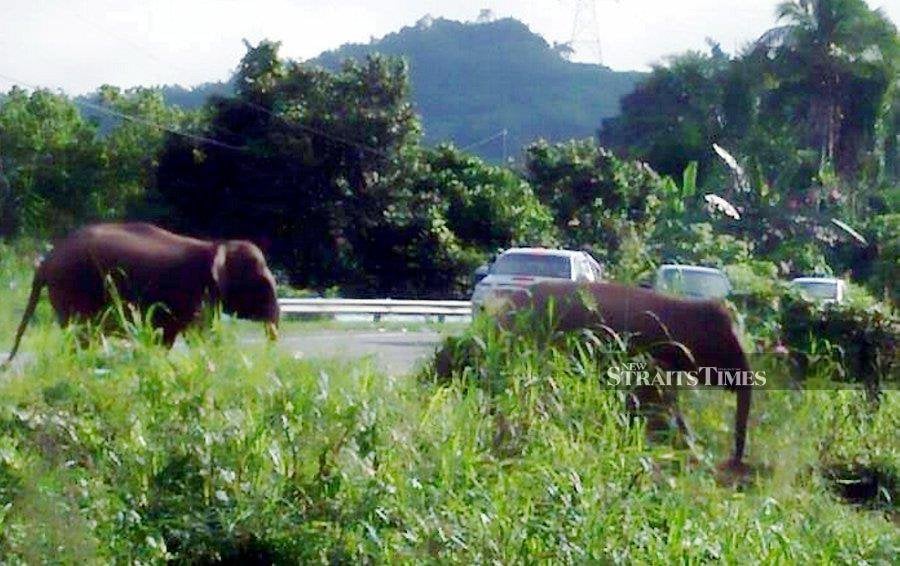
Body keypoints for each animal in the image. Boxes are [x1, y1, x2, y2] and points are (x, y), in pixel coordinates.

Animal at [5, 222, 280, 364]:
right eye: (262, 285)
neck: (217, 245)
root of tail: (46, 260)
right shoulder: (195, 293)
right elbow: (199, 334)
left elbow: (167, 337)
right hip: (72, 287)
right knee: (81, 334)